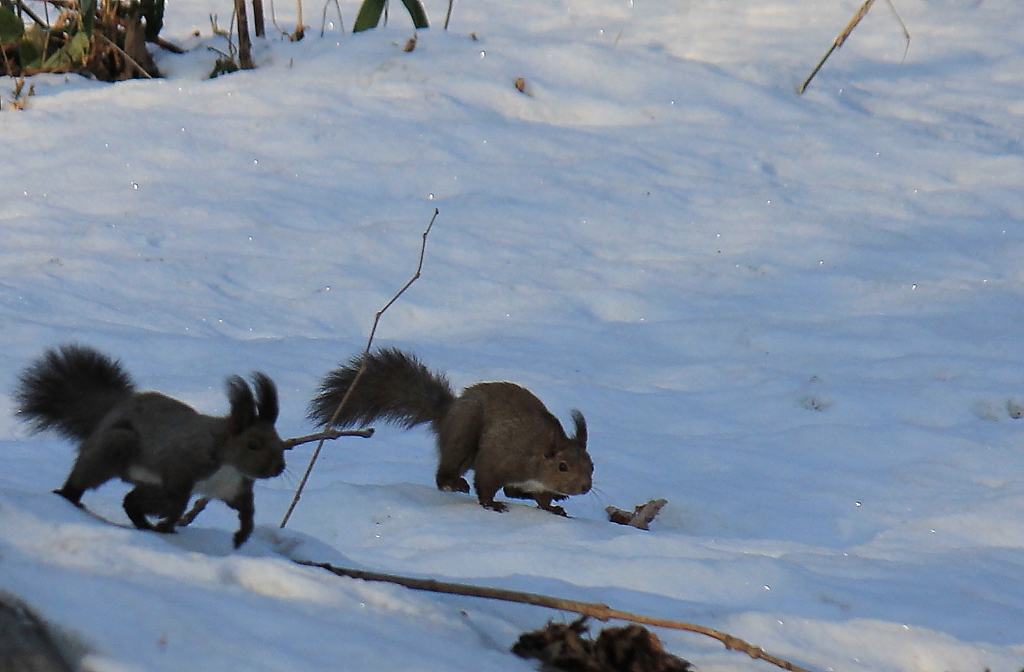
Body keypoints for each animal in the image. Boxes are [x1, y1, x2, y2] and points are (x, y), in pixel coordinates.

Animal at [14, 344, 288, 549]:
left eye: (279, 440)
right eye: (252, 444)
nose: (279, 468)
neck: (228, 464)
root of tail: (113, 410)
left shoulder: (234, 488)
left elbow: (247, 511)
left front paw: (242, 535)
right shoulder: (182, 466)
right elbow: (177, 502)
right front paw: (167, 524)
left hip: (144, 479)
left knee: (131, 500)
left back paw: (144, 525)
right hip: (115, 446)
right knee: (89, 479)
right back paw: (69, 497)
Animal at [307, 346, 593, 514]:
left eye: (591, 466)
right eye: (562, 466)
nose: (585, 487)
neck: (536, 455)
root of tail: (449, 410)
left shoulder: (539, 484)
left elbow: (542, 498)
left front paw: (553, 507)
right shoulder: (499, 459)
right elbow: (486, 484)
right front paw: (490, 504)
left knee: (512, 490)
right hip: (463, 437)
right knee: (446, 470)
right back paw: (453, 483)